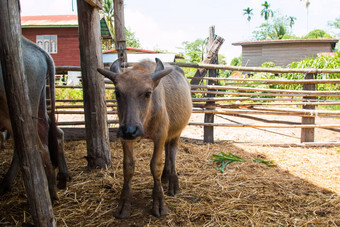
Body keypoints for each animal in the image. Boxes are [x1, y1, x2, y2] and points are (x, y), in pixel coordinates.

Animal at [97, 58, 193, 218]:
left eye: (148, 93)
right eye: (117, 93)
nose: (130, 130)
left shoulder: (160, 135)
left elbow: (155, 165)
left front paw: (159, 203)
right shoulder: (125, 137)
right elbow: (128, 166)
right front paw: (124, 204)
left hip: (177, 131)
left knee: (172, 152)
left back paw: (173, 183)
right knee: (168, 150)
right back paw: (166, 176)